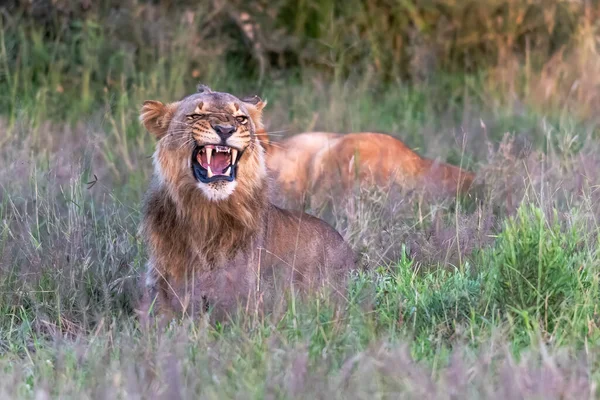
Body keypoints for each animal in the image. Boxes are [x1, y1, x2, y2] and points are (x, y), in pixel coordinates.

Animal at [138, 85, 354, 322]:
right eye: (195, 116)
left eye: (240, 118)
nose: (225, 130)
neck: (206, 212)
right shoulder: (159, 287)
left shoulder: (246, 295)